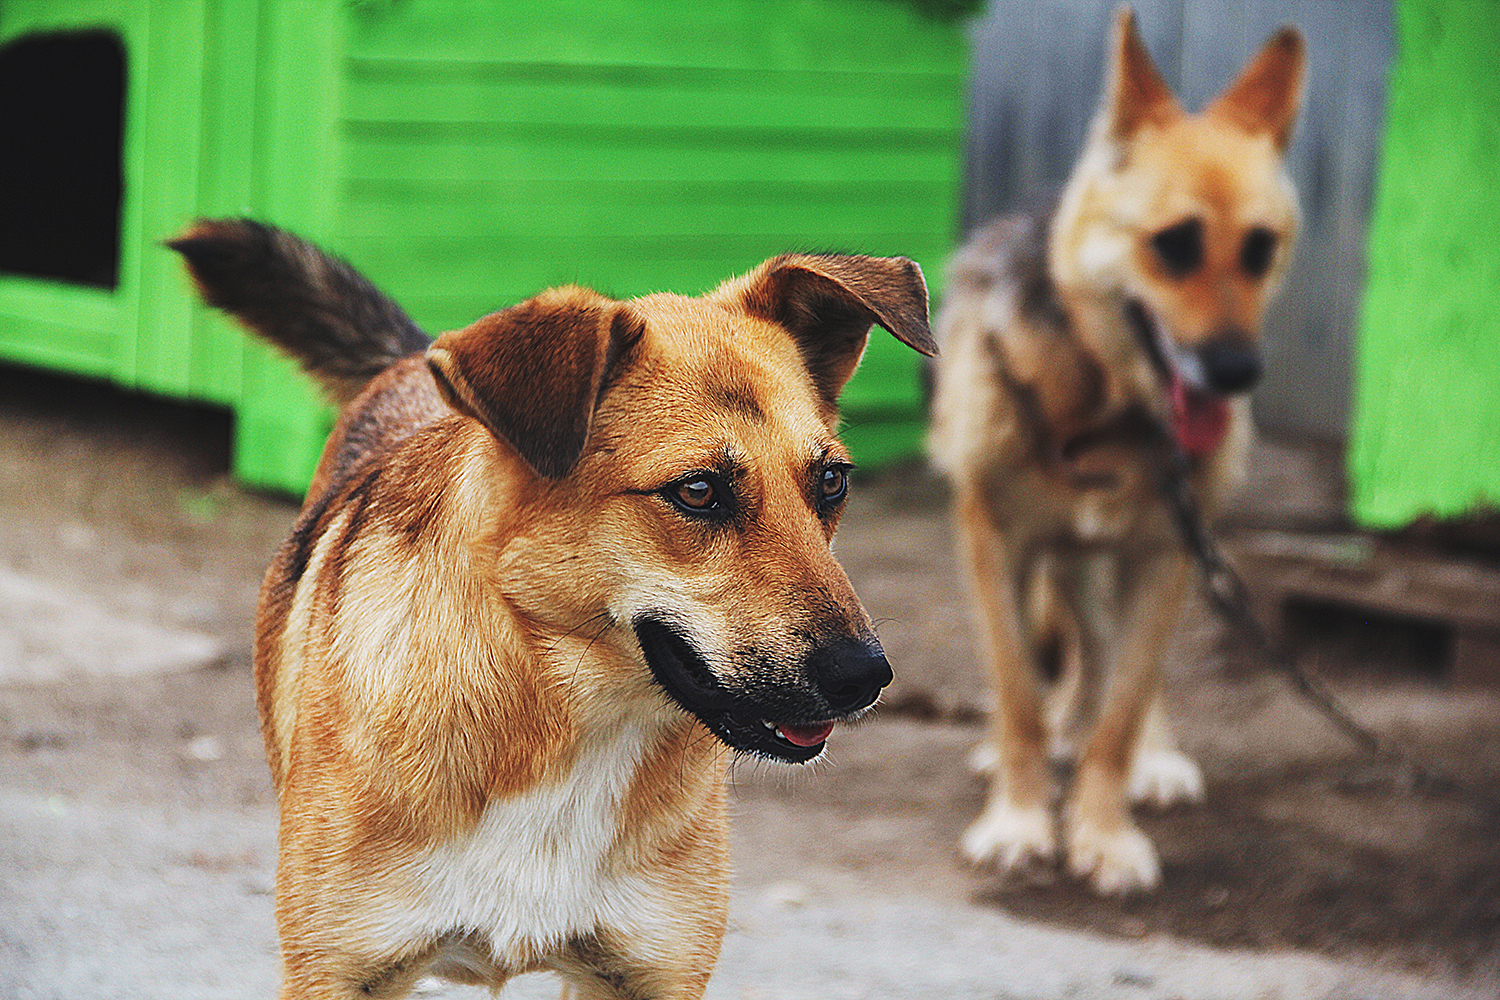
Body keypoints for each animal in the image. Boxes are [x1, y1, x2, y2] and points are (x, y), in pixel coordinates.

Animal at [170, 220, 930, 1000]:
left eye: (832, 480)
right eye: (697, 491)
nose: (865, 678)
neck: (572, 722)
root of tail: (417, 359)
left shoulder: (650, 975)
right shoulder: (339, 972)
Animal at [924, 5, 1302, 899]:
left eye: (1261, 249)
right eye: (1173, 244)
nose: (1237, 373)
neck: (1097, 402)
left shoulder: (1163, 551)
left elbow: (1124, 709)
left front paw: (1103, 831)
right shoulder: (996, 540)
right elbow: (1018, 695)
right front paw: (1019, 819)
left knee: (1116, 666)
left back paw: (1150, 761)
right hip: (1060, 554)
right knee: (1063, 659)